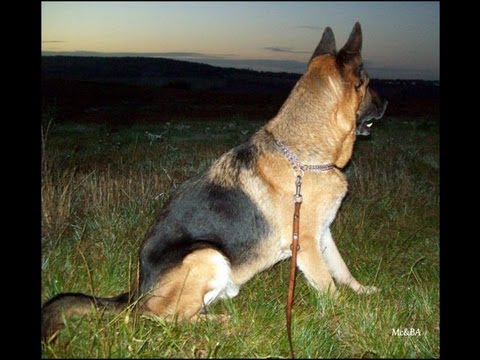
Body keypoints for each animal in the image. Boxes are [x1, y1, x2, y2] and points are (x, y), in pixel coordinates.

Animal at [41, 22, 386, 340]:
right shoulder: (307, 243)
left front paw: (362, 291)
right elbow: (328, 285)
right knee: (161, 317)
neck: (305, 157)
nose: (386, 104)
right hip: (207, 255)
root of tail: (137, 292)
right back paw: (219, 323)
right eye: (368, 82)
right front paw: (347, 312)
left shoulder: (323, 234)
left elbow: (341, 270)